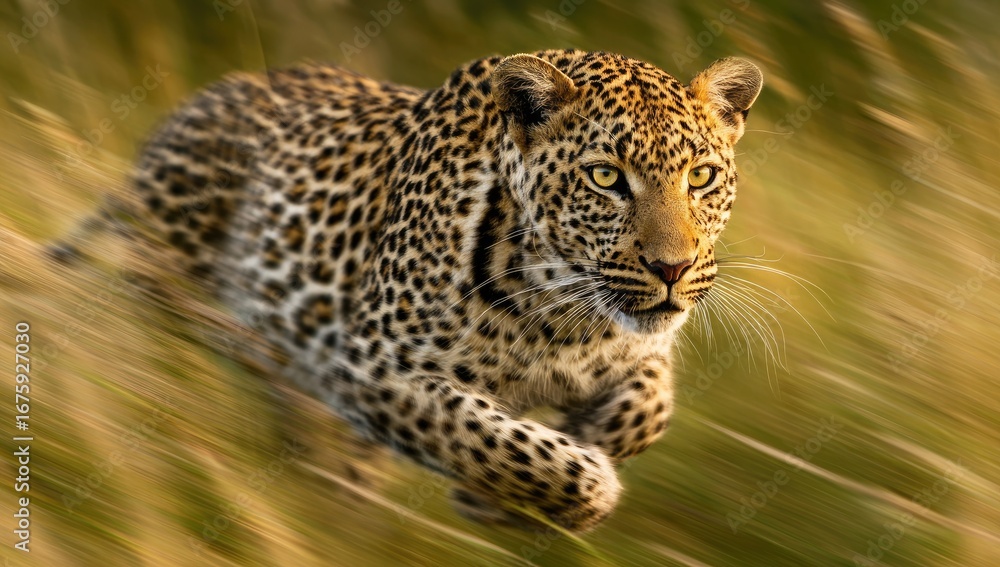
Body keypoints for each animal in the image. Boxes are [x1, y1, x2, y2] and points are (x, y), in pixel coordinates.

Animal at [72, 49, 762, 532]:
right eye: (605, 178)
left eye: (702, 177)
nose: (672, 268)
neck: (563, 317)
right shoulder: (372, 369)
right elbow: (495, 439)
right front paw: (567, 485)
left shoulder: (640, 351)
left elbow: (650, 411)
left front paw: (560, 459)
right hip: (171, 230)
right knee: (131, 292)